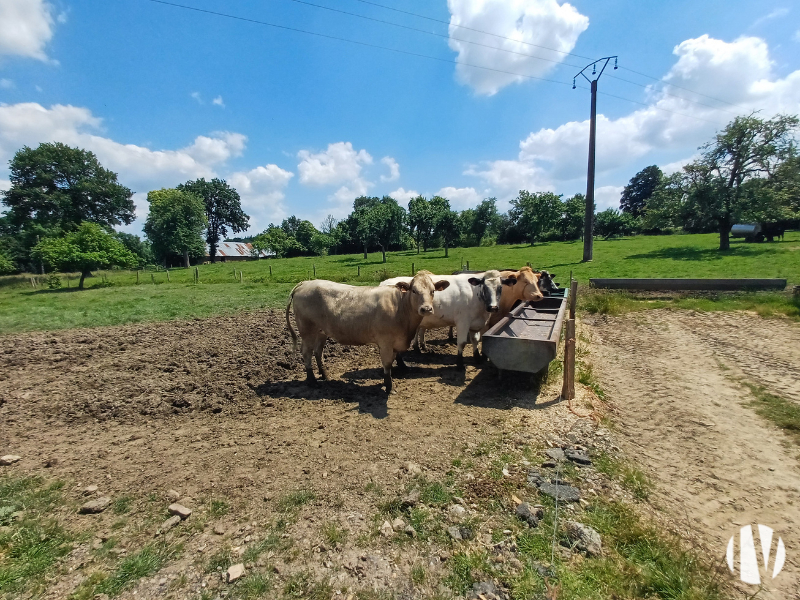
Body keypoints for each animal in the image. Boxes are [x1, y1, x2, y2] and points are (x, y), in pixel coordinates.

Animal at [286, 270, 450, 394]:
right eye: (414, 290)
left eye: (433, 291)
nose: (426, 309)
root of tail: (305, 283)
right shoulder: (385, 342)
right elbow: (387, 364)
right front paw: (389, 387)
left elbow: (395, 360)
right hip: (307, 330)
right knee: (306, 352)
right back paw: (312, 380)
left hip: (321, 331)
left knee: (318, 351)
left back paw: (324, 375)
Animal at [380, 270, 516, 368]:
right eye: (485, 287)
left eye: (500, 288)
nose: (493, 307)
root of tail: (385, 282)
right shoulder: (462, 322)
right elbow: (462, 342)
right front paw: (460, 363)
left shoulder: (475, 324)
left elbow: (475, 340)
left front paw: (477, 358)